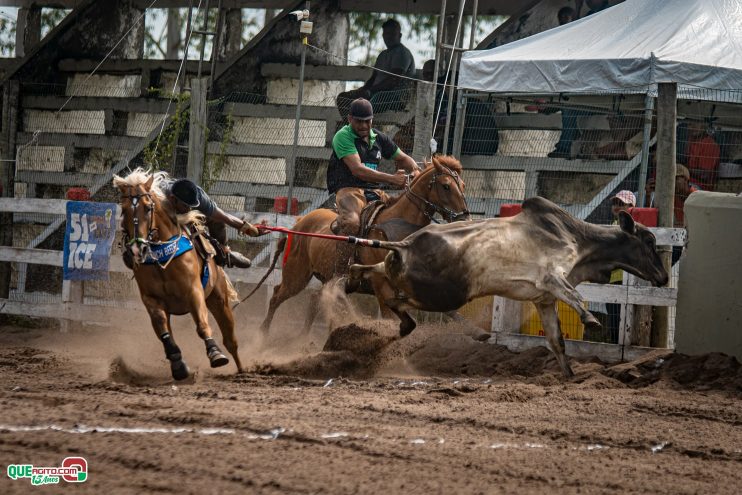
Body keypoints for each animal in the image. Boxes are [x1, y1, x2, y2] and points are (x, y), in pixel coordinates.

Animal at [112, 169, 244, 382]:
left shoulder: (193, 292)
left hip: (219, 299)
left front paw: (215, 353)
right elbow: (163, 329)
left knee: (231, 340)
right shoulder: (151, 299)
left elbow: (202, 325)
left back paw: (241, 370)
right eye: (123, 210)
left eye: (148, 208)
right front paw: (178, 364)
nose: (137, 249)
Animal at [260, 155, 470, 334]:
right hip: (296, 276)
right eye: (446, 186)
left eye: (463, 185)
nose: (464, 218)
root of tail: (299, 222)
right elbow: (389, 321)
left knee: (314, 300)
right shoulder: (382, 286)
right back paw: (263, 336)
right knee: (277, 296)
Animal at [348, 196, 676, 378]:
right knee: (398, 303)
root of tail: (404, 245)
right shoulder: (552, 277)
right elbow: (576, 296)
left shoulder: (544, 300)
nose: (663, 278)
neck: (579, 239)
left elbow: (557, 340)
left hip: (412, 281)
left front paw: (570, 376)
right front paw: (591, 319)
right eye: (649, 241)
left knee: (377, 276)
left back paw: (355, 277)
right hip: (443, 296)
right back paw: (401, 324)